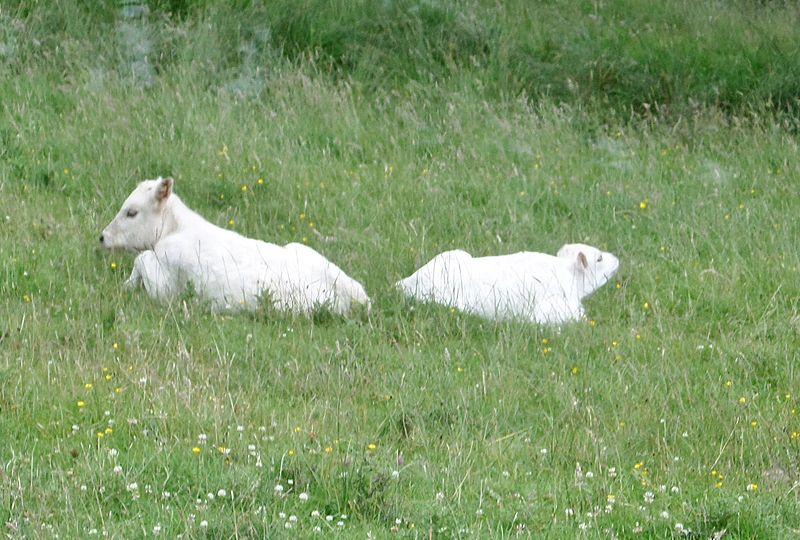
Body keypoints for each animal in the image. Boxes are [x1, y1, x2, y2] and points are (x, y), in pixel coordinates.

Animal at [100, 175, 372, 314]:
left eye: (132, 212)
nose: (102, 237)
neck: (176, 229)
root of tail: (359, 297)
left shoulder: (164, 287)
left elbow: (140, 260)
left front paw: (126, 286)